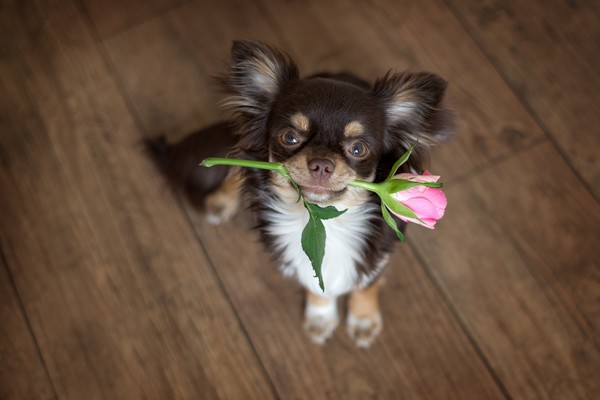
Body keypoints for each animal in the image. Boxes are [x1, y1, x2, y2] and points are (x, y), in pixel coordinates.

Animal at [148, 40, 452, 346]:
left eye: (358, 149)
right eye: (290, 137)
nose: (321, 164)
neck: (328, 220)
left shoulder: (379, 254)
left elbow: (367, 284)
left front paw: (363, 319)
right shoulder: (306, 256)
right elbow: (316, 286)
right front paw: (321, 316)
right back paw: (221, 200)